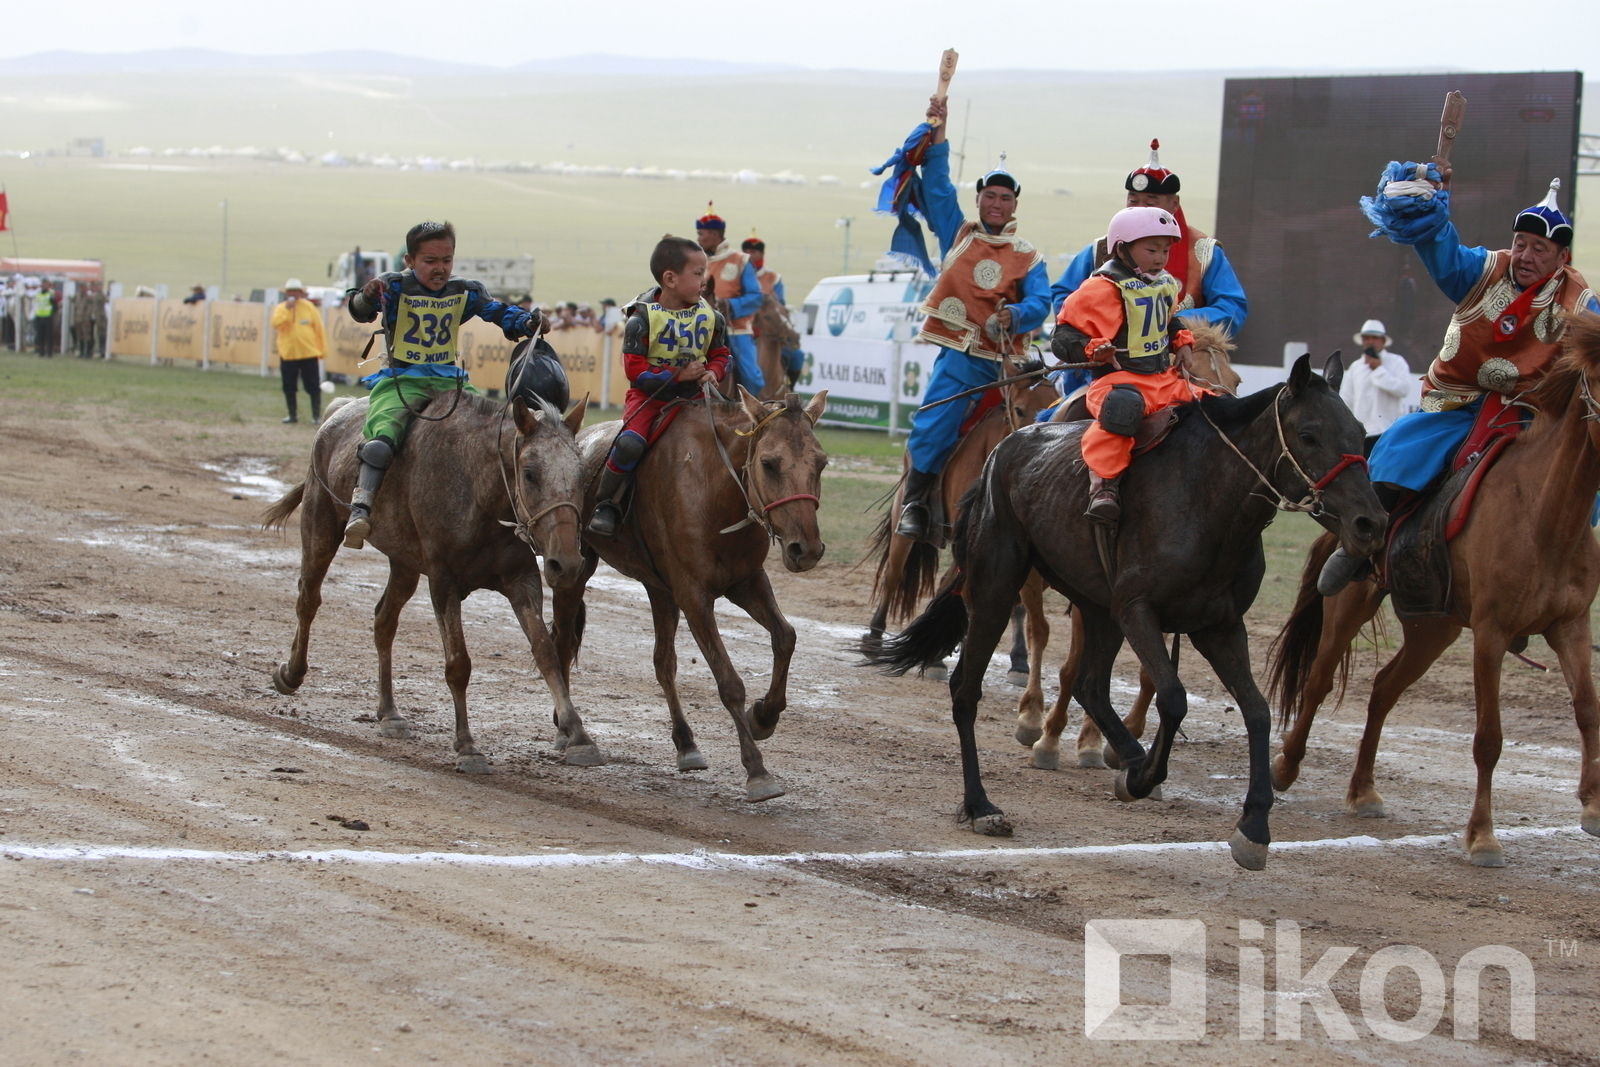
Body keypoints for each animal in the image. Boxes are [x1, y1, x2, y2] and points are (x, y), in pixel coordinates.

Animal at [262, 388, 601, 771]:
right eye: (529, 474)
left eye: (582, 476)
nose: (566, 563)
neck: (477, 491)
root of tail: (338, 412)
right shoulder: (443, 581)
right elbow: (458, 664)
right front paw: (467, 745)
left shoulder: (521, 578)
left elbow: (545, 651)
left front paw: (577, 734)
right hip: (320, 524)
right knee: (309, 599)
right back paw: (291, 673)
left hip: (404, 563)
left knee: (384, 621)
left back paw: (389, 712)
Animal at [553, 385, 832, 799]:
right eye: (769, 463)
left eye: (822, 464)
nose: (806, 549)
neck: (715, 488)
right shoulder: (694, 596)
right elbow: (729, 683)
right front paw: (757, 771)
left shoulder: (746, 581)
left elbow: (786, 636)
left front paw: (764, 717)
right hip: (575, 569)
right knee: (561, 642)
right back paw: (568, 731)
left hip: (659, 588)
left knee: (663, 662)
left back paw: (686, 743)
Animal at [870, 355, 1382, 870]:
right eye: (1309, 434)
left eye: (1360, 432)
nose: (1370, 522)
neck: (1205, 498)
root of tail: (1003, 450)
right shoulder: (1138, 609)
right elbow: (1173, 697)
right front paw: (1143, 775)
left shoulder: (1218, 625)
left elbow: (1256, 711)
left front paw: (1253, 826)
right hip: (999, 586)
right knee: (968, 687)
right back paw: (981, 804)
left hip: (1097, 608)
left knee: (1090, 685)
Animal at [1267, 308, 1600, 870]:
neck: (1544, 513)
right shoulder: (1490, 633)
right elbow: (1489, 738)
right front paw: (1483, 836)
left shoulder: (1570, 627)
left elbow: (1587, 711)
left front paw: (1593, 806)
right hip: (1352, 605)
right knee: (1318, 681)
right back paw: (1285, 767)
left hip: (1434, 628)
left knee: (1383, 689)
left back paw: (1363, 791)